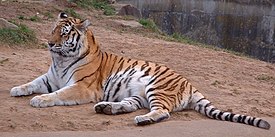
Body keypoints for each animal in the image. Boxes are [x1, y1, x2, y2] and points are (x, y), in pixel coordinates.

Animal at [10, 12, 272, 130]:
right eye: (53, 29)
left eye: (64, 34)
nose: (49, 43)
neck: (61, 60)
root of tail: (190, 84)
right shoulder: (50, 77)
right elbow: (32, 82)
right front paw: (16, 89)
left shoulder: (82, 86)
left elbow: (57, 94)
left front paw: (39, 101)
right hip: (137, 94)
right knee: (130, 105)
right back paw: (107, 108)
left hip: (157, 88)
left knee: (163, 113)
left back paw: (142, 120)